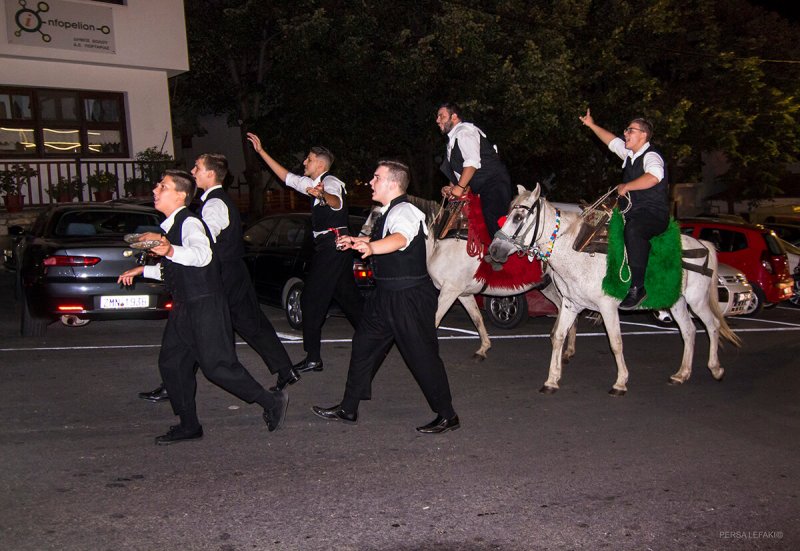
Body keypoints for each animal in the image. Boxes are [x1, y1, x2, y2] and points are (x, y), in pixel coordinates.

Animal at [362, 196, 576, 360]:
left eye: (376, 215)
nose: (362, 236)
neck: (438, 247)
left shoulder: (449, 292)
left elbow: (436, 318)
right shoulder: (463, 294)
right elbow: (477, 317)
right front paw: (483, 348)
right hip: (547, 286)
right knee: (562, 308)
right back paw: (566, 347)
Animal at [488, 187, 744, 396]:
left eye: (518, 217)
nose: (494, 250)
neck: (576, 250)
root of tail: (703, 245)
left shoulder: (607, 307)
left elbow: (615, 342)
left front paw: (620, 383)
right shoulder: (571, 304)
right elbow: (558, 336)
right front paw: (551, 380)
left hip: (696, 300)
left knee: (712, 326)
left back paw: (715, 369)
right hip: (676, 301)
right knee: (689, 331)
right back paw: (682, 374)